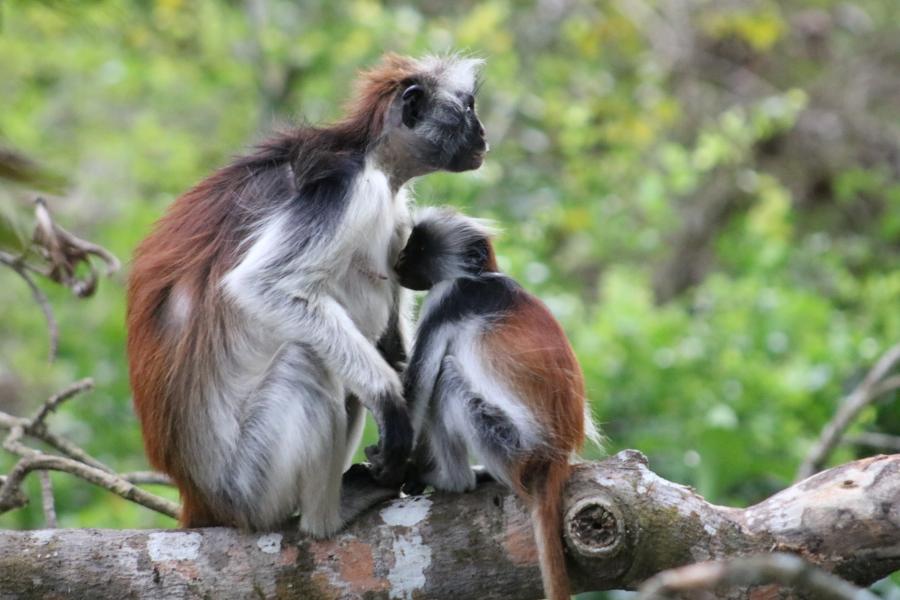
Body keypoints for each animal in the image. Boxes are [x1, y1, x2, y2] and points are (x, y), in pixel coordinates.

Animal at [126, 55, 486, 536]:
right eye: (468, 108)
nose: (482, 133)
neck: (370, 157)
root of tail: (198, 495)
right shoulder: (347, 189)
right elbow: (262, 285)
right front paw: (391, 406)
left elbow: (392, 344)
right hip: (251, 483)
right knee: (308, 357)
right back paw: (327, 518)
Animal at [396, 206, 596, 600]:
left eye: (420, 248)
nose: (398, 260)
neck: (484, 277)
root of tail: (554, 458)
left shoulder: (449, 298)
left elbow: (419, 388)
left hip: (509, 444)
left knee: (446, 379)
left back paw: (454, 480)